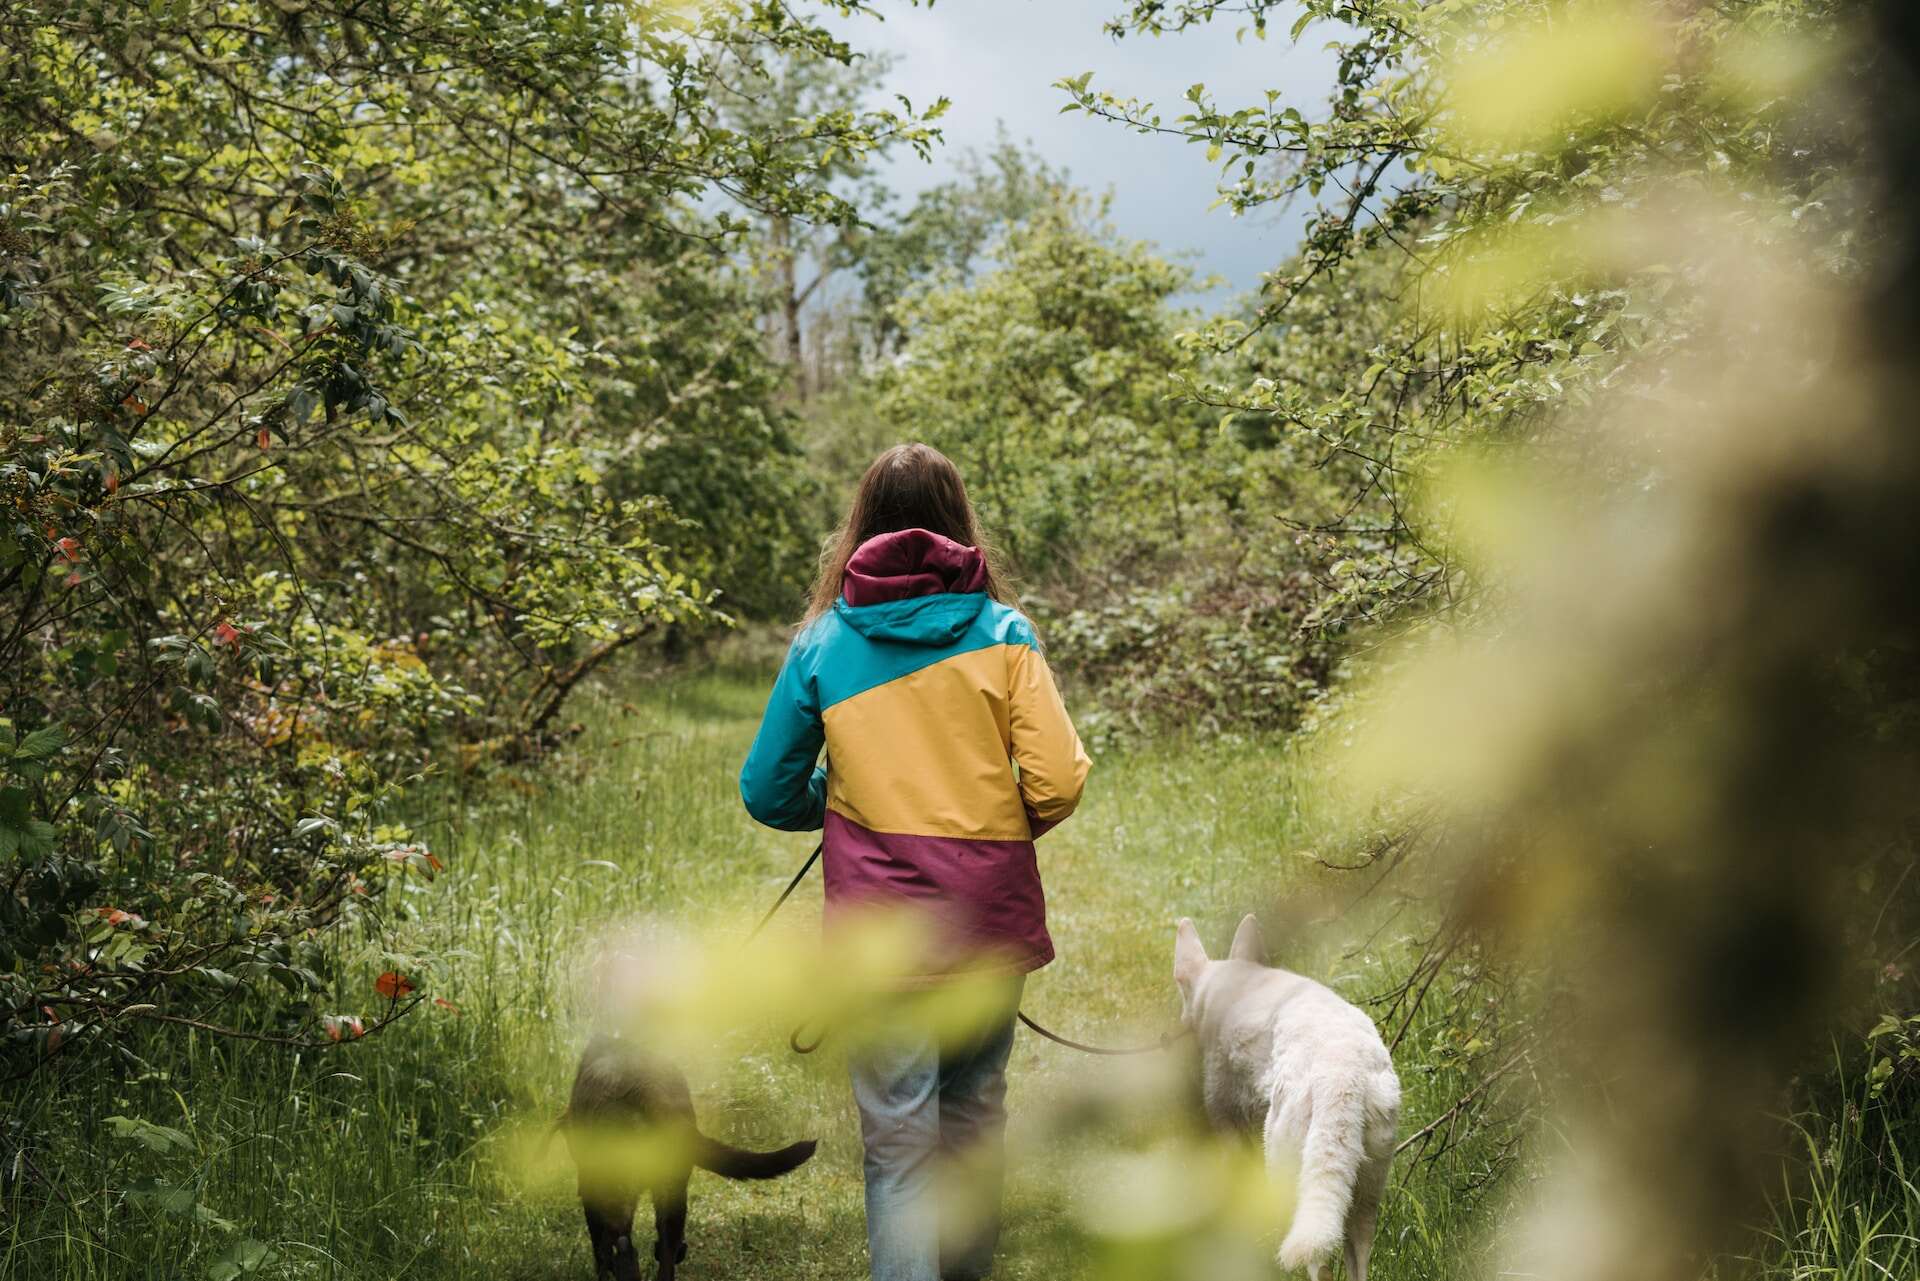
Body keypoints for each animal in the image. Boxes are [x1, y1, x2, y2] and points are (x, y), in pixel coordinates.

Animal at [560, 1037, 817, 1275]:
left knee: (621, 1248)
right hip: (671, 1187)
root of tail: (648, 1087)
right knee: (666, 1246)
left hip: (617, 1188)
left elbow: (598, 1245)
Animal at [1167, 918, 1397, 1275]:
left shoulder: (1227, 1122)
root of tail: (1340, 1073)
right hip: (1366, 1188)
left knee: (1317, 1262)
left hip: (1283, 1163)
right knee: (1356, 1254)